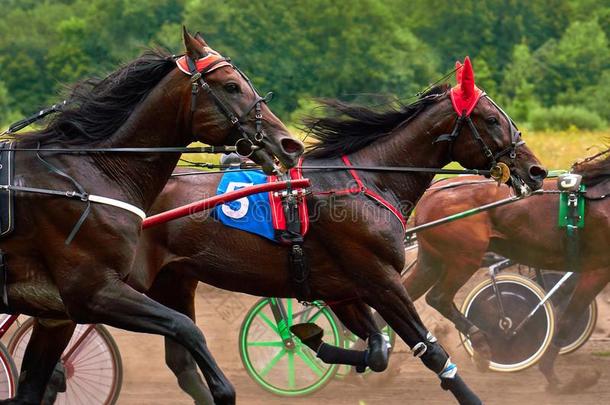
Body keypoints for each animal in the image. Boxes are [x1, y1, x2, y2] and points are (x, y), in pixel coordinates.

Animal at [0, 28, 302, 404]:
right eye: (232, 86)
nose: (289, 144)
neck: (88, 174)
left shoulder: (57, 315)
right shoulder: (94, 292)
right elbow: (186, 328)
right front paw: (222, 390)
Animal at [126, 63, 544, 400]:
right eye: (491, 119)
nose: (537, 170)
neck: (370, 181)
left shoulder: (343, 288)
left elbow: (377, 350)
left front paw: (317, 341)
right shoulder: (379, 279)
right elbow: (431, 351)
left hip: (174, 280)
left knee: (180, 356)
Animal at [402, 148, 604, 392]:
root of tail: (430, 195)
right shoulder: (598, 267)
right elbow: (567, 316)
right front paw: (554, 379)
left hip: (432, 261)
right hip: (465, 258)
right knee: (437, 297)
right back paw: (482, 345)